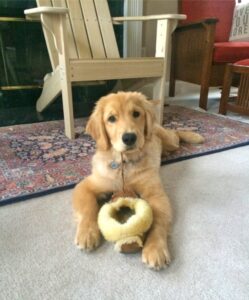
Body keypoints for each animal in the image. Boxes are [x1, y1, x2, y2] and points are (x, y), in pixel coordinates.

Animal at [72, 91, 204, 270]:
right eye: (111, 118)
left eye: (136, 114)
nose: (129, 138)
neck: (125, 162)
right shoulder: (86, 185)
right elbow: (88, 208)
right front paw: (87, 233)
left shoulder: (156, 194)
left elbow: (158, 221)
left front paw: (155, 248)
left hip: (169, 140)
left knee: (176, 133)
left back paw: (193, 135)